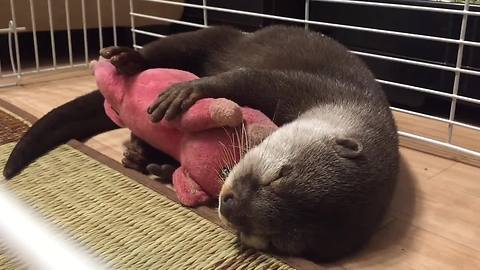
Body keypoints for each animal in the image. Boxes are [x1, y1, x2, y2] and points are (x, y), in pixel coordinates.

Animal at [3, 25, 398, 262]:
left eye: (275, 240)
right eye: (279, 175)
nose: (230, 205)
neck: (347, 102)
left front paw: (165, 170)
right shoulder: (300, 86)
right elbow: (241, 79)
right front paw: (189, 92)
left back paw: (140, 154)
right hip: (212, 35)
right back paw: (128, 59)